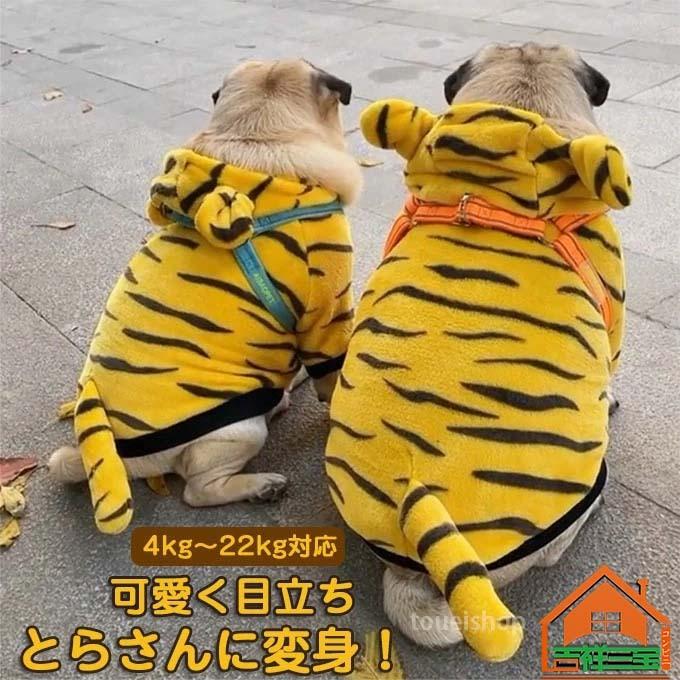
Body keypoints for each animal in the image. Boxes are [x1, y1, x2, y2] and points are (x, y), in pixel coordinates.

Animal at [48, 59, 362, 535]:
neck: (255, 141)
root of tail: (123, 456)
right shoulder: (327, 305)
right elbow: (332, 371)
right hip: (239, 430)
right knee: (198, 490)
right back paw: (261, 484)